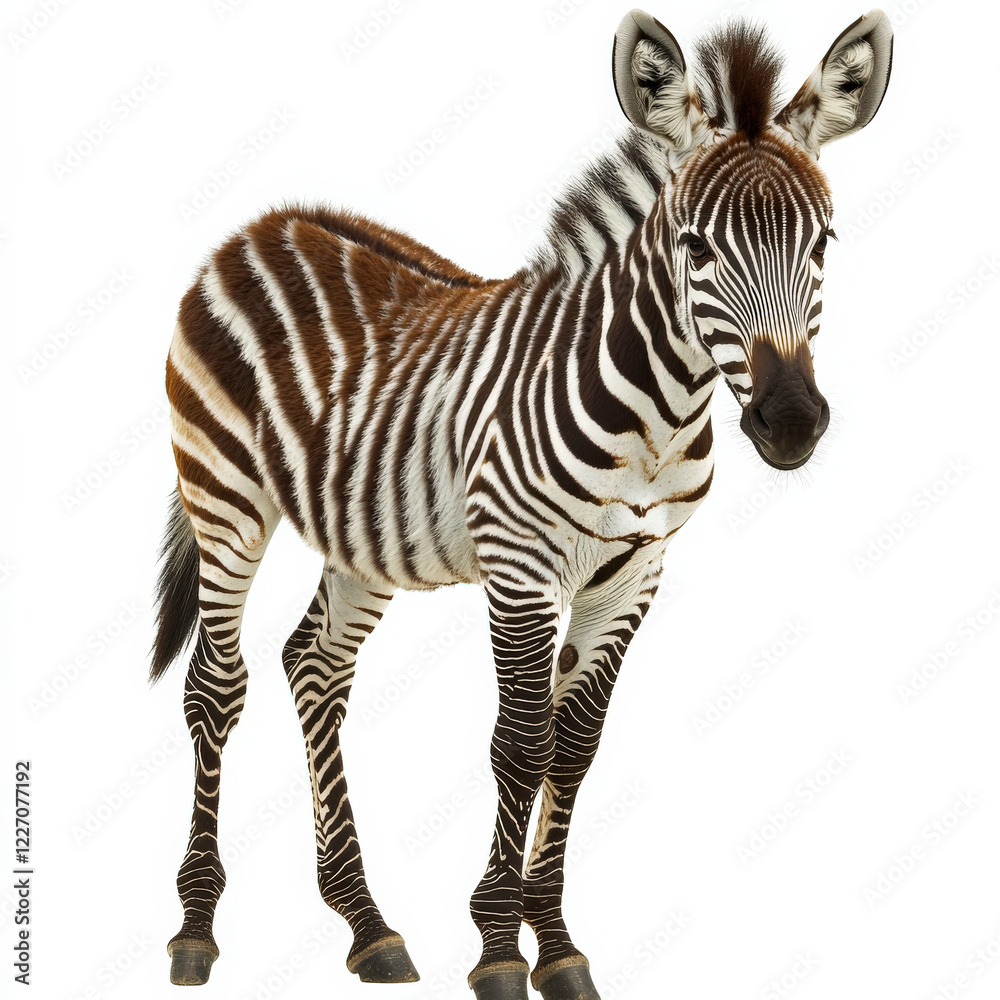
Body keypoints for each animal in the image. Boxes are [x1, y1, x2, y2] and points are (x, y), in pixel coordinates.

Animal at [151, 9, 892, 999]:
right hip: (224, 497)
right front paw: (501, 950)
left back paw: (367, 925)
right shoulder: (522, 570)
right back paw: (195, 929)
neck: (656, 422)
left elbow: (573, 747)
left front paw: (559, 944)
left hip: (361, 527)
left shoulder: (634, 573)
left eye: (823, 244)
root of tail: (257, 227)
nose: (791, 423)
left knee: (313, 666)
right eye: (695, 247)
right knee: (214, 685)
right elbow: (519, 742)